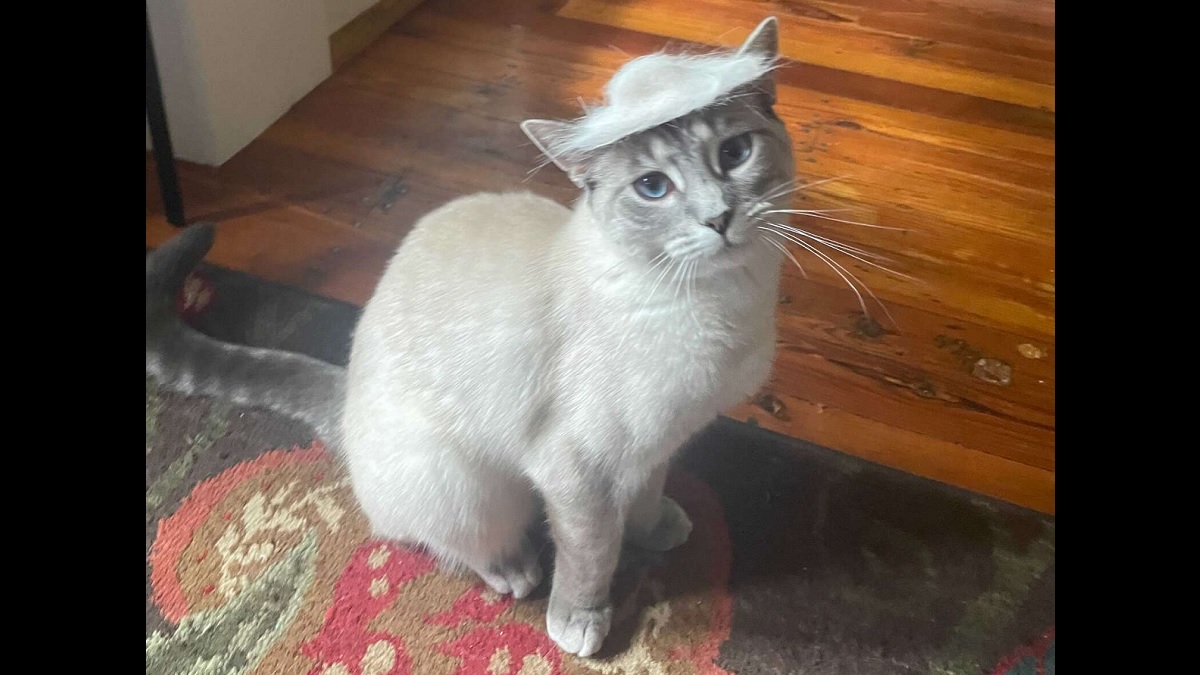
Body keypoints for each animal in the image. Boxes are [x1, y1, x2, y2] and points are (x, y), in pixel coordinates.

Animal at [145, 17, 792, 658]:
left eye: (735, 153)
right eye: (653, 187)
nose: (718, 218)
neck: (721, 305)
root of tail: (347, 402)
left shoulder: (659, 443)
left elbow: (647, 498)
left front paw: (657, 529)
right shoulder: (578, 469)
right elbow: (591, 555)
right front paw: (581, 621)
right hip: (463, 485)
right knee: (453, 540)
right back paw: (513, 568)